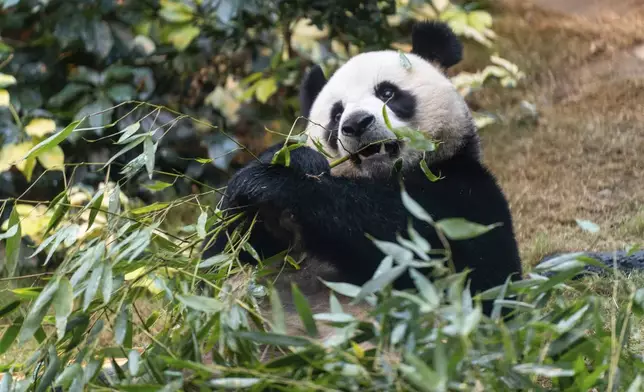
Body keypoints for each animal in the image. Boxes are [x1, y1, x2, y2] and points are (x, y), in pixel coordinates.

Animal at [201, 21, 524, 334]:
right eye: (336, 113)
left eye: (387, 93)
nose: (356, 124)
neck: (383, 177)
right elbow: (217, 260)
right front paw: (279, 170)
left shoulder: (465, 190)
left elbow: (451, 261)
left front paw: (280, 185)